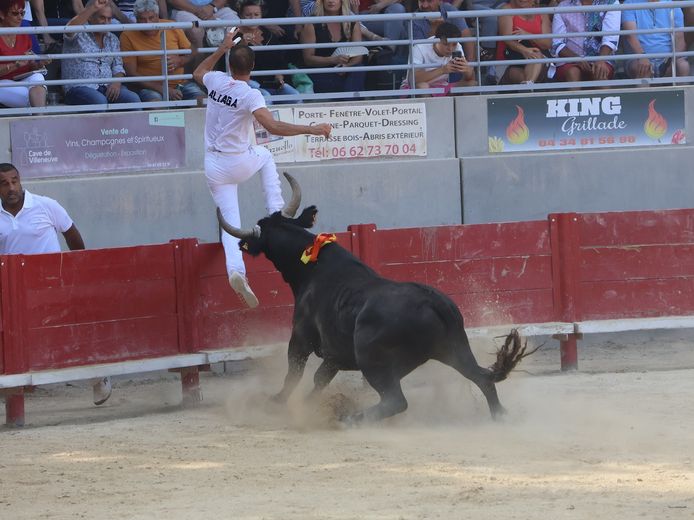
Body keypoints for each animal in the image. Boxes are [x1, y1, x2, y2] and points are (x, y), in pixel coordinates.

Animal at [220, 173, 536, 424]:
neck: (312, 266)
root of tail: (433, 302)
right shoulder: (336, 354)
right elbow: (319, 378)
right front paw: (309, 405)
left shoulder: (301, 337)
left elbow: (294, 372)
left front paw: (276, 402)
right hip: (455, 350)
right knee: (482, 378)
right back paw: (499, 416)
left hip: (372, 360)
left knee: (396, 401)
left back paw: (350, 418)